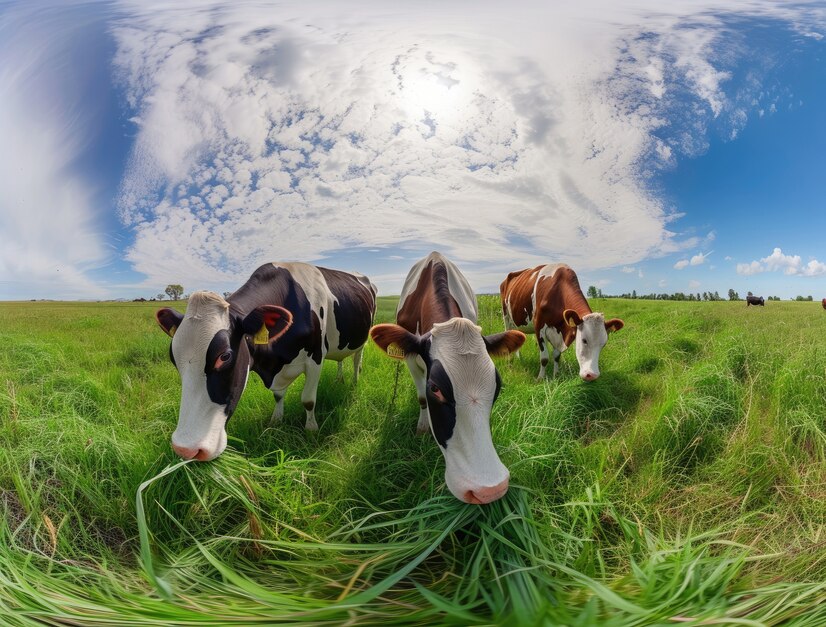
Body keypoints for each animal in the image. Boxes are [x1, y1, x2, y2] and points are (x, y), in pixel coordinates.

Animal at [154, 260, 374, 462]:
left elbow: (308, 400)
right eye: (173, 357)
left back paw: (354, 381)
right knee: (340, 360)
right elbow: (278, 396)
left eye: (224, 356)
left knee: (357, 360)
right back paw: (339, 379)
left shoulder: (316, 358)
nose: (186, 449)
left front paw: (311, 429)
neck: (274, 363)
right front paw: (276, 420)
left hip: (363, 337)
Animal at [366, 251, 520, 506]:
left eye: (497, 386)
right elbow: (421, 398)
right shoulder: (411, 360)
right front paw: (422, 428)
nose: (490, 490)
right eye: (435, 388)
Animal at [496, 262, 624, 380]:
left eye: (604, 344)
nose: (592, 375)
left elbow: (556, 355)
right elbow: (544, 358)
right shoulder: (539, 326)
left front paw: (556, 375)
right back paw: (510, 363)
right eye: (584, 340)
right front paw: (540, 378)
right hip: (506, 318)